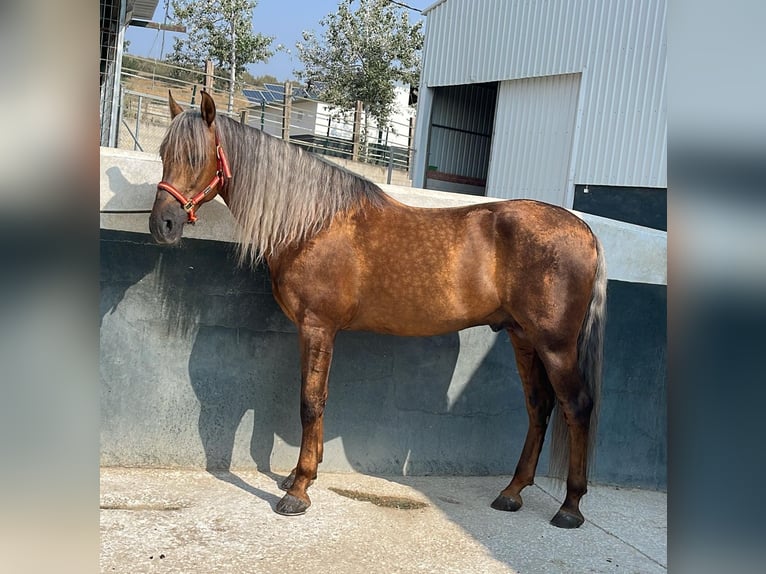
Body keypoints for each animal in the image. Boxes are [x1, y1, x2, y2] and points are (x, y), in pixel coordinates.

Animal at [148, 91, 608, 532]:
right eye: (164, 153)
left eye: (195, 157)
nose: (162, 225)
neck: (312, 224)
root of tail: (584, 231)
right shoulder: (314, 331)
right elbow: (316, 397)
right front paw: (301, 476)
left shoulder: (317, 327)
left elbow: (310, 401)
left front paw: (298, 489)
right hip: (522, 338)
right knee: (538, 406)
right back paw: (512, 492)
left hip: (555, 346)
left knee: (577, 406)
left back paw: (570, 507)